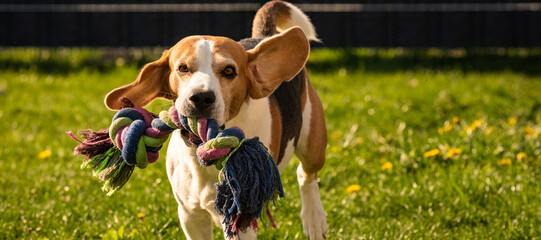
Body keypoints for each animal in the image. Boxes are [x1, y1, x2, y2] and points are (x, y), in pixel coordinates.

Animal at [104, 1, 326, 238]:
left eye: (229, 71)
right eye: (182, 68)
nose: (201, 97)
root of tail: (262, 37)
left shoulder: (240, 220)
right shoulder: (190, 215)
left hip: (312, 144)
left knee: (306, 175)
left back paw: (314, 220)